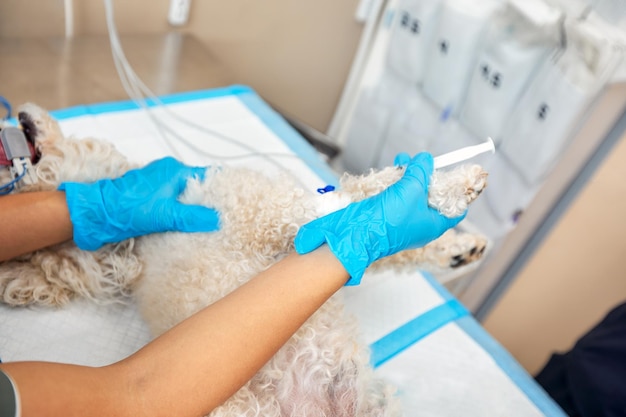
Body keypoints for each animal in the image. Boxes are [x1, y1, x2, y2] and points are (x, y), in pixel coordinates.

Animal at [0, 102, 488, 414]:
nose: (19, 109)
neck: (137, 241)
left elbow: (382, 239)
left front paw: (458, 247)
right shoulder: (275, 217)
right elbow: (363, 200)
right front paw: (446, 188)